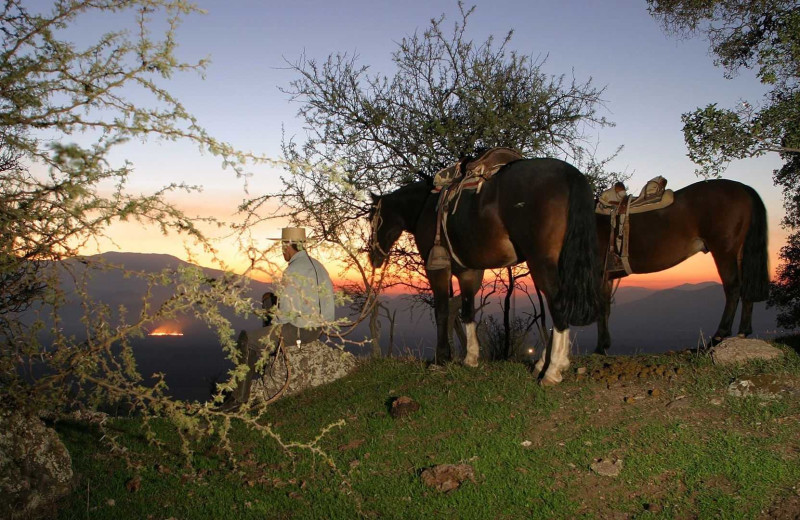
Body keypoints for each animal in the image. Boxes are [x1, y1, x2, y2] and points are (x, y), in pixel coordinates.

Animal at [368, 156, 600, 384]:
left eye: (373, 220)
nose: (373, 257)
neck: (425, 206)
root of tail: (570, 173)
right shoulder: (468, 272)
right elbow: (468, 311)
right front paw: (470, 358)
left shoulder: (437, 268)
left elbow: (442, 311)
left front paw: (440, 359)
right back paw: (544, 364)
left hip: (541, 261)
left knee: (558, 303)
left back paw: (552, 370)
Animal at [592, 178, 768, 354]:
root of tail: (743, 187)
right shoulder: (606, 277)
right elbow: (606, 309)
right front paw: (603, 346)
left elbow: (601, 309)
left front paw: (599, 349)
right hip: (740, 254)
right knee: (746, 287)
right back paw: (743, 332)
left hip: (724, 251)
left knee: (733, 288)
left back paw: (717, 338)